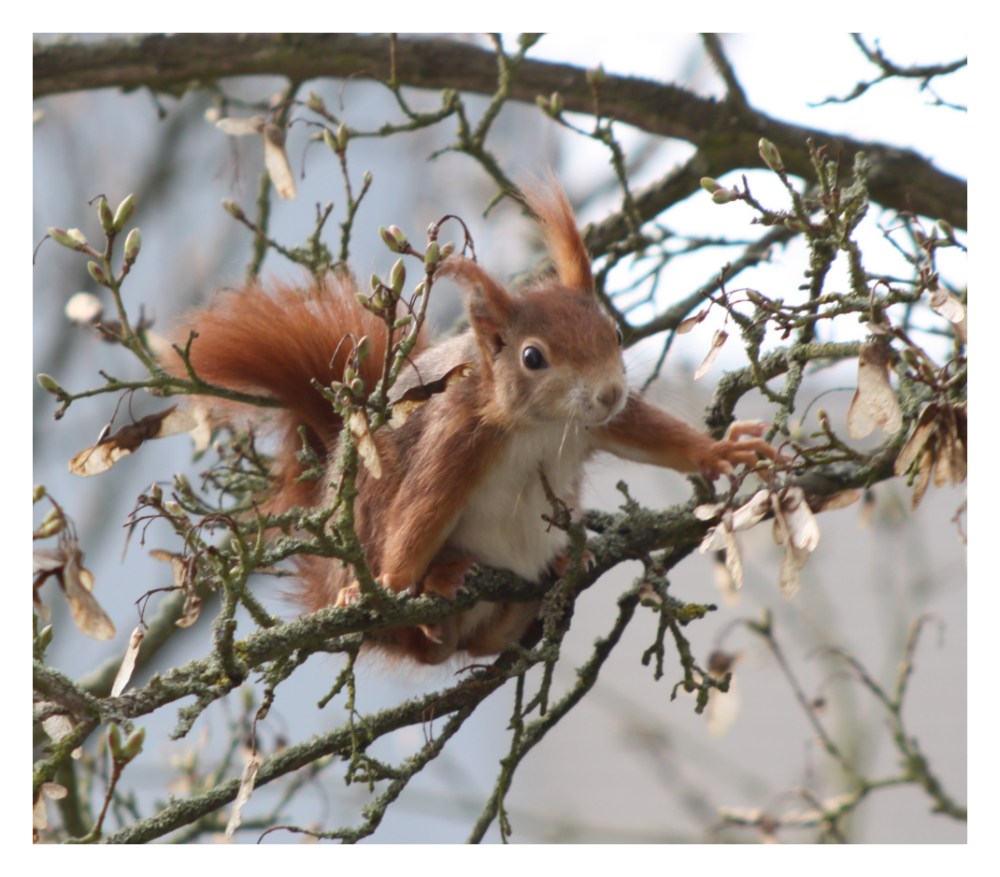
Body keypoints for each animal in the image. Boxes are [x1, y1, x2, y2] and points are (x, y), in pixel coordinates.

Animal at [170, 186, 772, 664]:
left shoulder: (595, 425)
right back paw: (423, 590)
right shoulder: (459, 437)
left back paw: (561, 561)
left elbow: (650, 433)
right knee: (431, 628)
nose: (608, 393)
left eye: (616, 335)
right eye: (533, 358)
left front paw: (718, 452)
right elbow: (422, 510)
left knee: (486, 642)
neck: (540, 426)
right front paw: (387, 585)